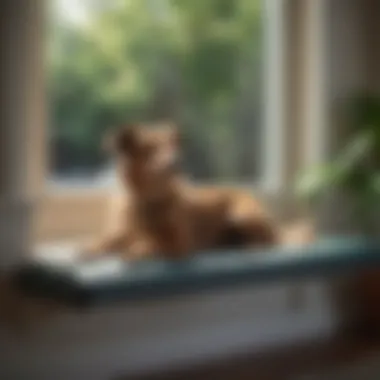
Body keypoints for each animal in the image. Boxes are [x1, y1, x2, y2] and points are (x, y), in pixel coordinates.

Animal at [84, 121, 308, 262]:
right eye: (150, 148)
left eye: (172, 146)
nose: (176, 161)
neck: (150, 199)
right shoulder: (123, 232)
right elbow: (108, 241)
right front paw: (92, 249)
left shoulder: (180, 243)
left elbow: (154, 243)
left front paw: (138, 249)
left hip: (240, 215)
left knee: (268, 240)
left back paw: (250, 246)